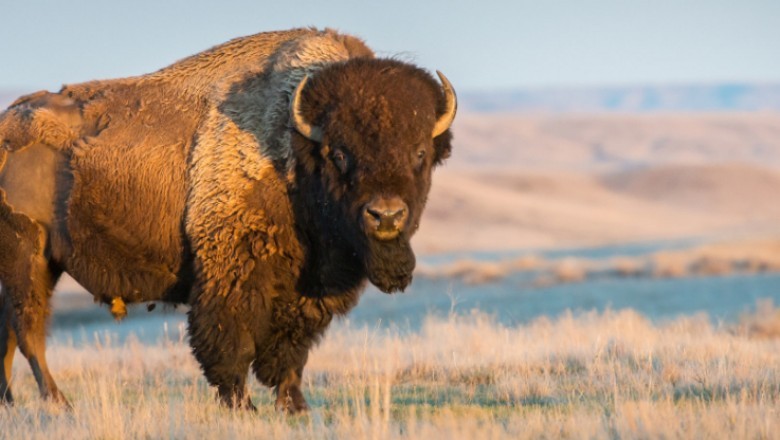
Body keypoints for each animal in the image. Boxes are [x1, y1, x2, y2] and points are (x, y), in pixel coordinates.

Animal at [0, 28, 455, 412]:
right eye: (340, 153)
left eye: (419, 153)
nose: (386, 215)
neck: (294, 147)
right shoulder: (232, 273)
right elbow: (230, 342)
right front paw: (242, 405)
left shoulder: (306, 291)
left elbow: (291, 350)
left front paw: (295, 406)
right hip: (29, 257)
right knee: (29, 331)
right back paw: (58, 402)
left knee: (9, 332)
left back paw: (11, 402)